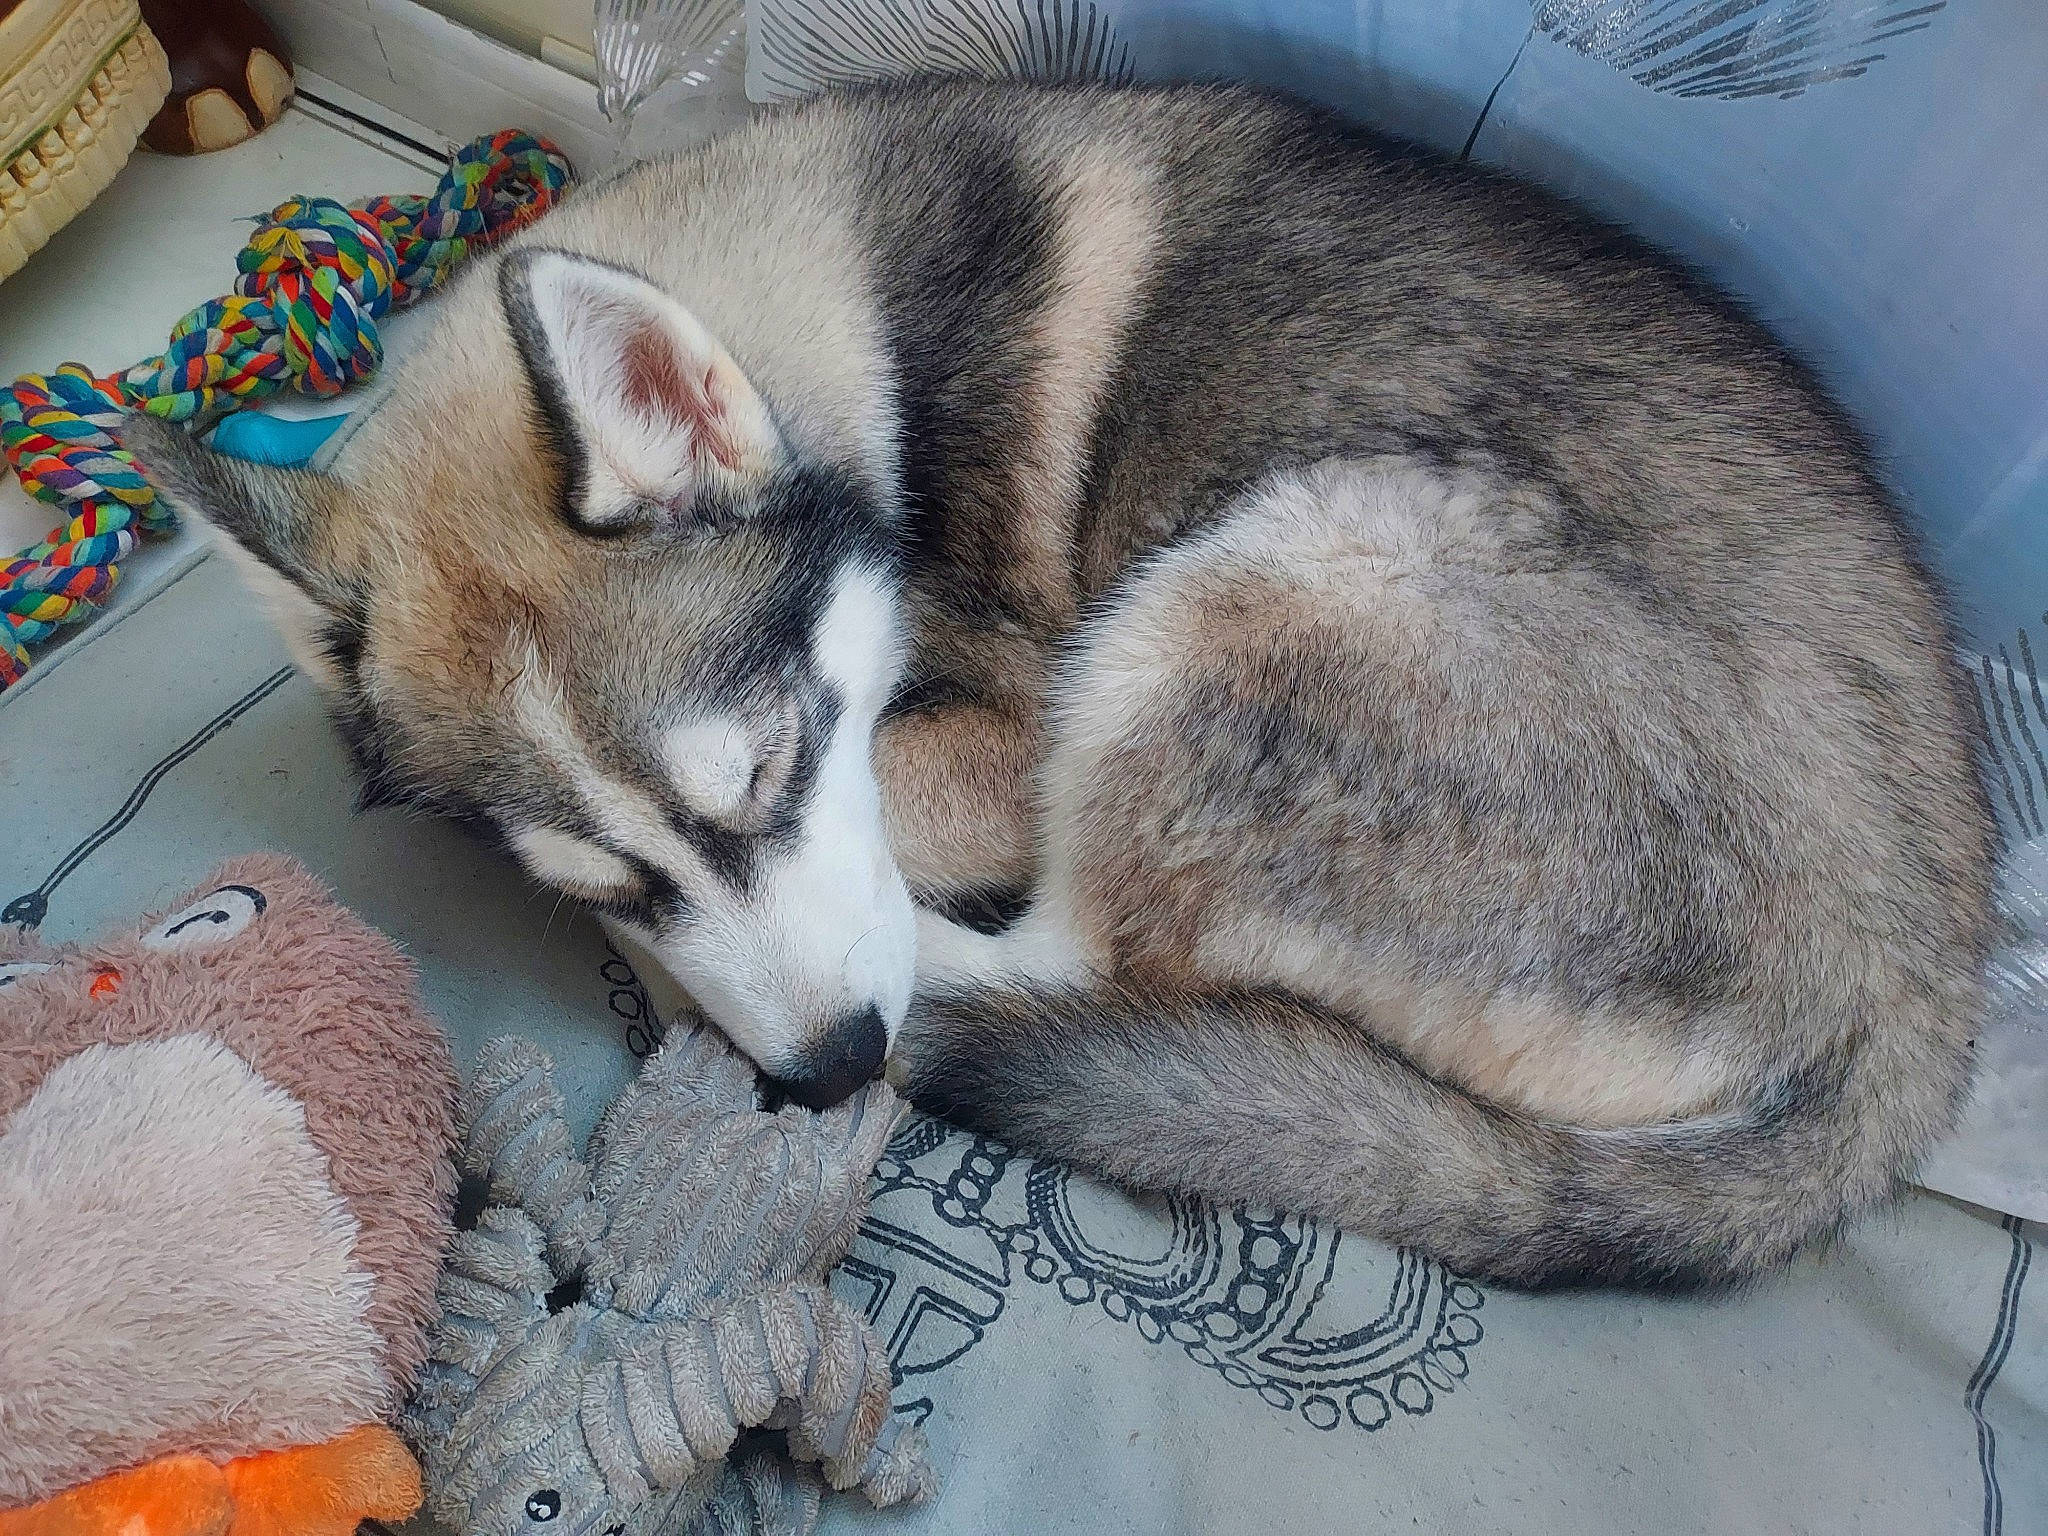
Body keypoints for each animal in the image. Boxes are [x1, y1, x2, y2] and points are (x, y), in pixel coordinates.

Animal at [124, 80, 1998, 1291]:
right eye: (605, 871)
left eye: (776, 768)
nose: (825, 1073)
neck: (856, 320)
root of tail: (1920, 999)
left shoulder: (1014, 719)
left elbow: (897, 844)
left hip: (1263, 582)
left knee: (1071, 961)